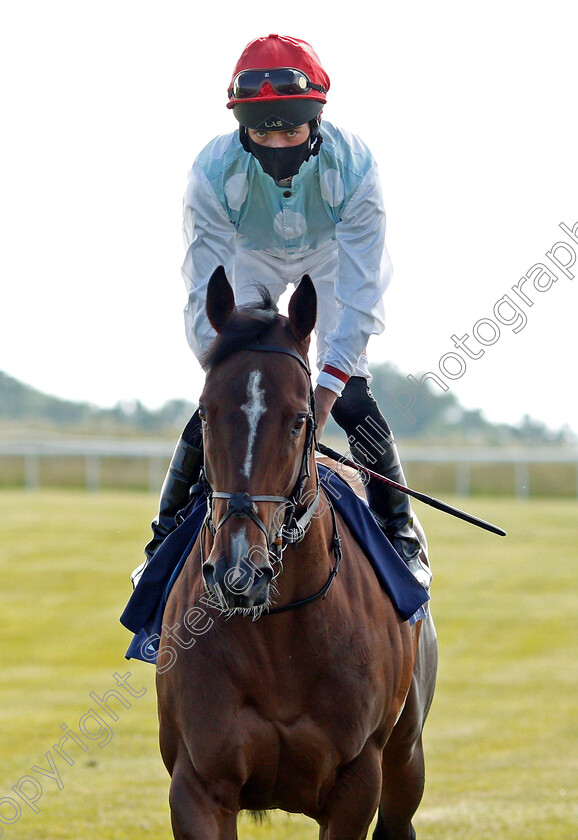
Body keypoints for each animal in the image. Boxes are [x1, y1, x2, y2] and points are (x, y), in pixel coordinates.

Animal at [155, 268, 434, 840]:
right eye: (204, 415)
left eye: (298, 419)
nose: (239, 570)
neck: (276, 635)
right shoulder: (199, 783)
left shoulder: (358, 780)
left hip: (406, 758)